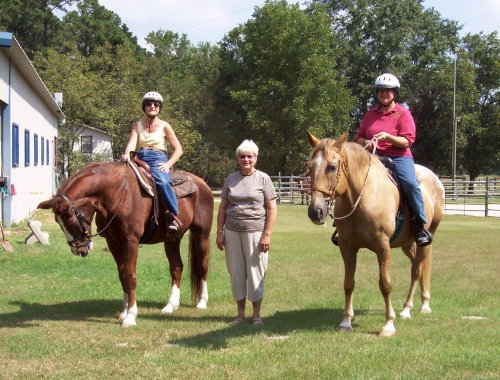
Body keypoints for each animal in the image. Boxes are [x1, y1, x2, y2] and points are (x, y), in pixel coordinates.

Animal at [37, 161, 213, 326]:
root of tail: (201, 184)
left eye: (69, 217)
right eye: (58, 221)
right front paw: (124, 312)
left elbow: (130, 276)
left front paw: (130, 317)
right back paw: (171, 305)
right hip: (172, 239)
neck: (115, 195)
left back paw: (202, 302)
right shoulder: (114, 243)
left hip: (201, 235)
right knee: (176, 268)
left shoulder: (130, 241)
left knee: (203, 265)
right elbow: (122, 275)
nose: (78, 250)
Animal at [306, 131, 444, 336]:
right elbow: (348, 283)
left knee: (416, 271)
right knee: (418, 267)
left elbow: (385, 284)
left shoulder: (382, 246)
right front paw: (346, 321)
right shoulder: (347, 247)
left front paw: (388, 324)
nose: (315, 211)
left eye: (332, 167)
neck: (360, 198)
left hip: (425, 240)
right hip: (407, 243)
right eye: (310, 167)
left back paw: (410, 308)